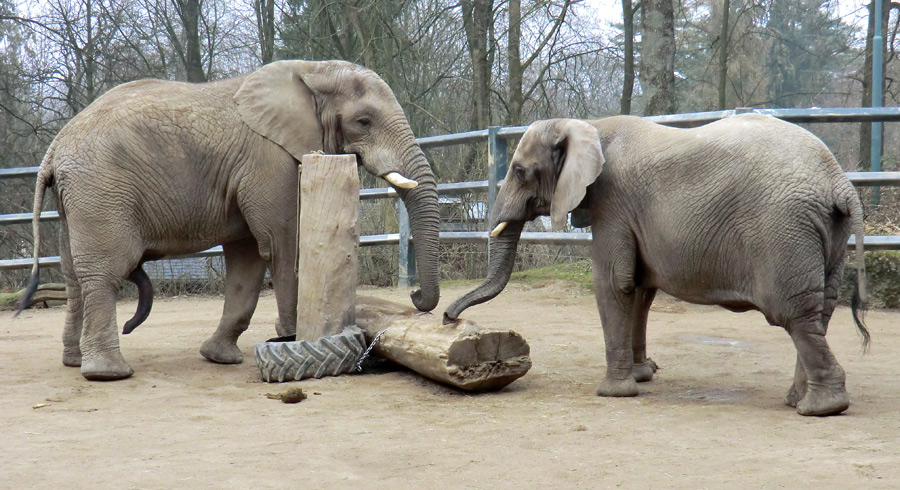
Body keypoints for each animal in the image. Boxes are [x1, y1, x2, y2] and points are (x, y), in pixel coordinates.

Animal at [19, 61, 442, 380]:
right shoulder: (270, 161)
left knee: (74, 275)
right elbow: (282, 242)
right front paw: (290, 339)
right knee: (104, 273)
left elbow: (248, 259)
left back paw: (74, 362)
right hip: (101, 191)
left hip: (76, 198)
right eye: (364, 121)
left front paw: (220, 358)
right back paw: (108, 374)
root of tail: (54, 148)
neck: (310, 70)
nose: (414, 297)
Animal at [446, 116, 868, 418]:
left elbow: (613, 284)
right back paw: (799, 400)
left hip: (784, 231)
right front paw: (642, 376)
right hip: (829, 233)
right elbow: (639, 290)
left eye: (520, 171)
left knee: (794, 315)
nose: (450, 317)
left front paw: (613, 393)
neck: (586, 126)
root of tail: (839, 182)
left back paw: (820, 408)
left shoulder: (612, 203)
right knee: (819, 313)